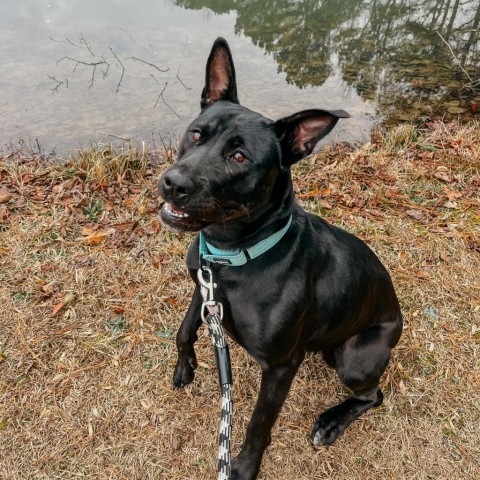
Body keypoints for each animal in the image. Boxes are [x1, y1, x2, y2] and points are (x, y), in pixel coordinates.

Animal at [159, 38, 404, 480]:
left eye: (239, 157)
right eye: (196, 134)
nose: (173, 183)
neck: (237, 254)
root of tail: (399, 318)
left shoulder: (280, 367)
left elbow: (259, 422)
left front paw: (243, 466)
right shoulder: (203, 287)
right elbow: (185, 331)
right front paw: (186, 366)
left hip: (355, 359)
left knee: (373, 396)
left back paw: (331, 422)